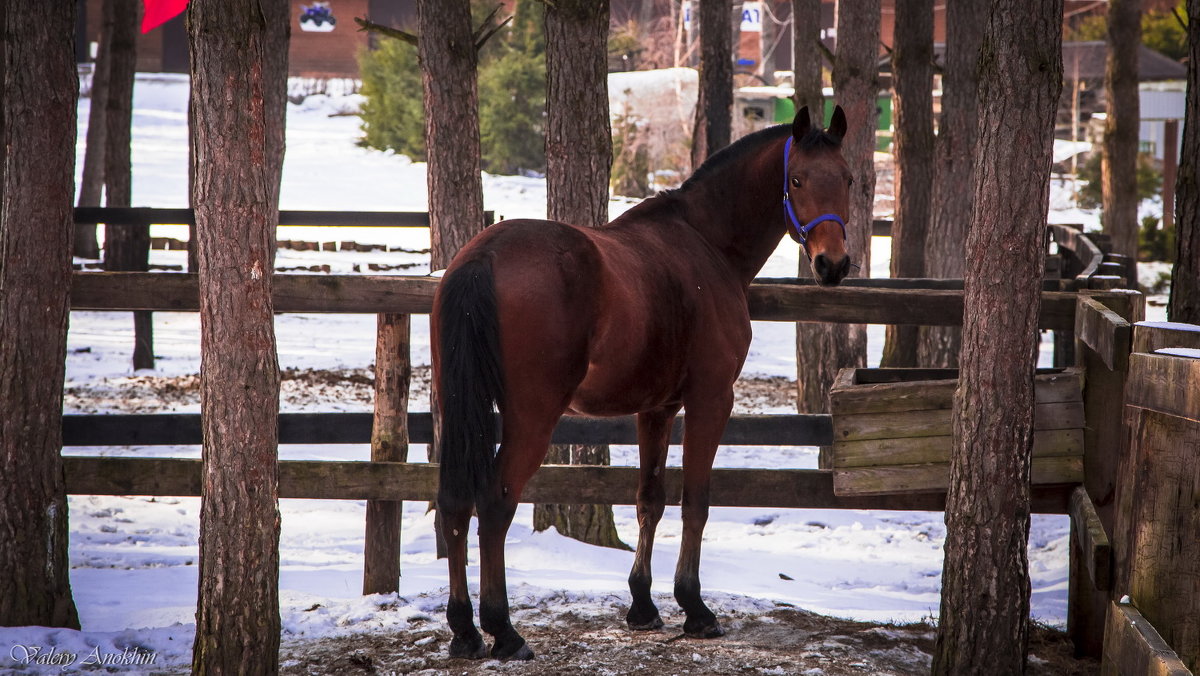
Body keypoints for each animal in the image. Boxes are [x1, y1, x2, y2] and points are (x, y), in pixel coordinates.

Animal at [432, 105, 854, 662]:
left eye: (847, 179)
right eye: (797, 179)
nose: (833, 264)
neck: (704, 242)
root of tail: (484, 255)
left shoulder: (656, 409)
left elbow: (648, 499)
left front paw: (643, 605)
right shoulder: (710, 400)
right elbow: (695, 501)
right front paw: (694, 608)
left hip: (459, 407)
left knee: (455, 503)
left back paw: (464, 629)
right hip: (531, 418)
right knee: (496, 504)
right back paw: (504, 630)